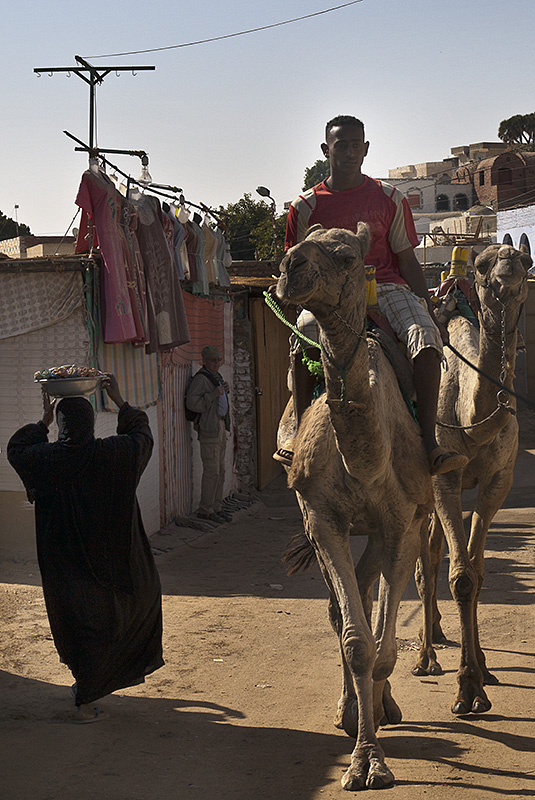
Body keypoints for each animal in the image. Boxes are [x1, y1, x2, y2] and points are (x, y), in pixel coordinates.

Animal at [276, 223, 436, 788]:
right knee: (347, 607)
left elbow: (384, 650)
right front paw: (364, 757)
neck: (367, 457)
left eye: (346, 256)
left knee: (369, 592)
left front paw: (376, 741)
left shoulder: (403, 521)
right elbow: (357, 642)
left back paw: (382, 706)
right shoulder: (321, 516)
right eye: (296, 242)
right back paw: (350, 711)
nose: (290, 267)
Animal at [410, 242, 532, 712]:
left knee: (434, 549)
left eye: (527, 261)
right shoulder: (445, 481)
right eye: (482, 265)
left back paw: (439, 634)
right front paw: (467, 689)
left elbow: (477, 573)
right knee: (424, 560)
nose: (510, 262)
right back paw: (425, 657)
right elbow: (460, 577)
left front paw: (483, 669)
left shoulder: (498, 481)